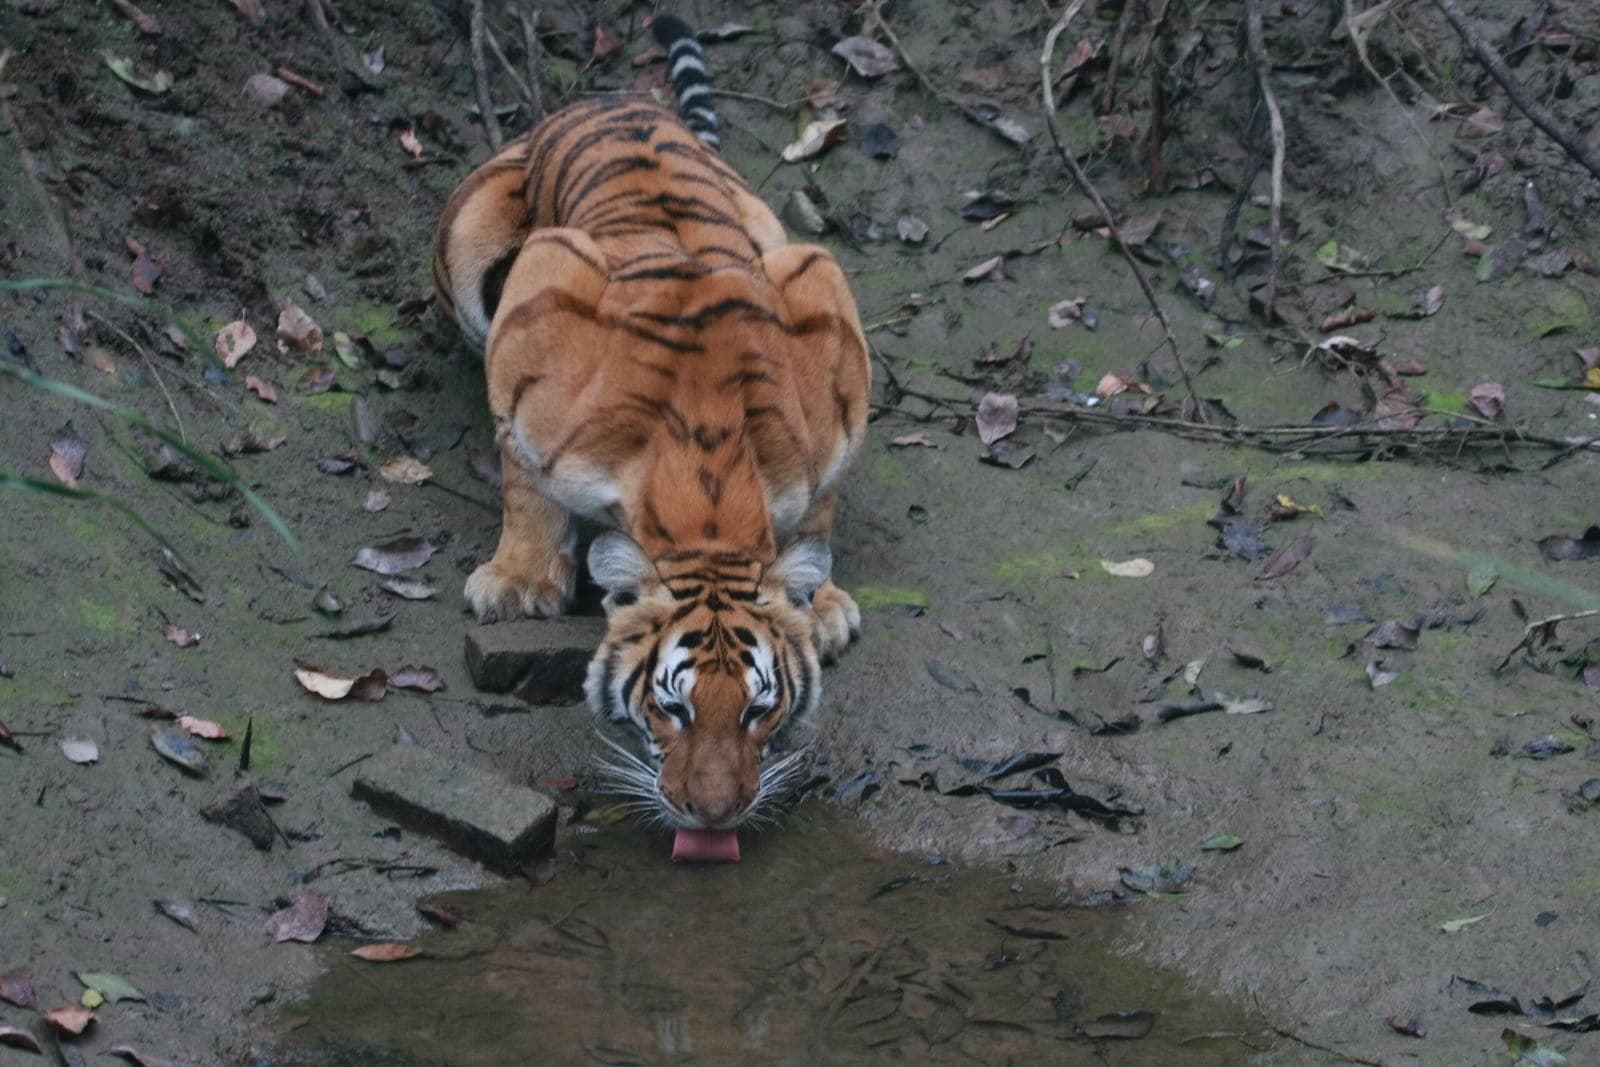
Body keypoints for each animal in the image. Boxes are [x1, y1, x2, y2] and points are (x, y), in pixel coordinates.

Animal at [432, 14, 871, 834]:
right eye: (674, 707)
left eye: (759, 709)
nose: (717, 814)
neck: (708, 481)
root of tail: (612, 98)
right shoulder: (538, 299)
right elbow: (523, 477)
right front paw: (519, 582)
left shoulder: (823, 304)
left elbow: (820, 503)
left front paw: (818, 599)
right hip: (466, 241)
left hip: (780, 238)